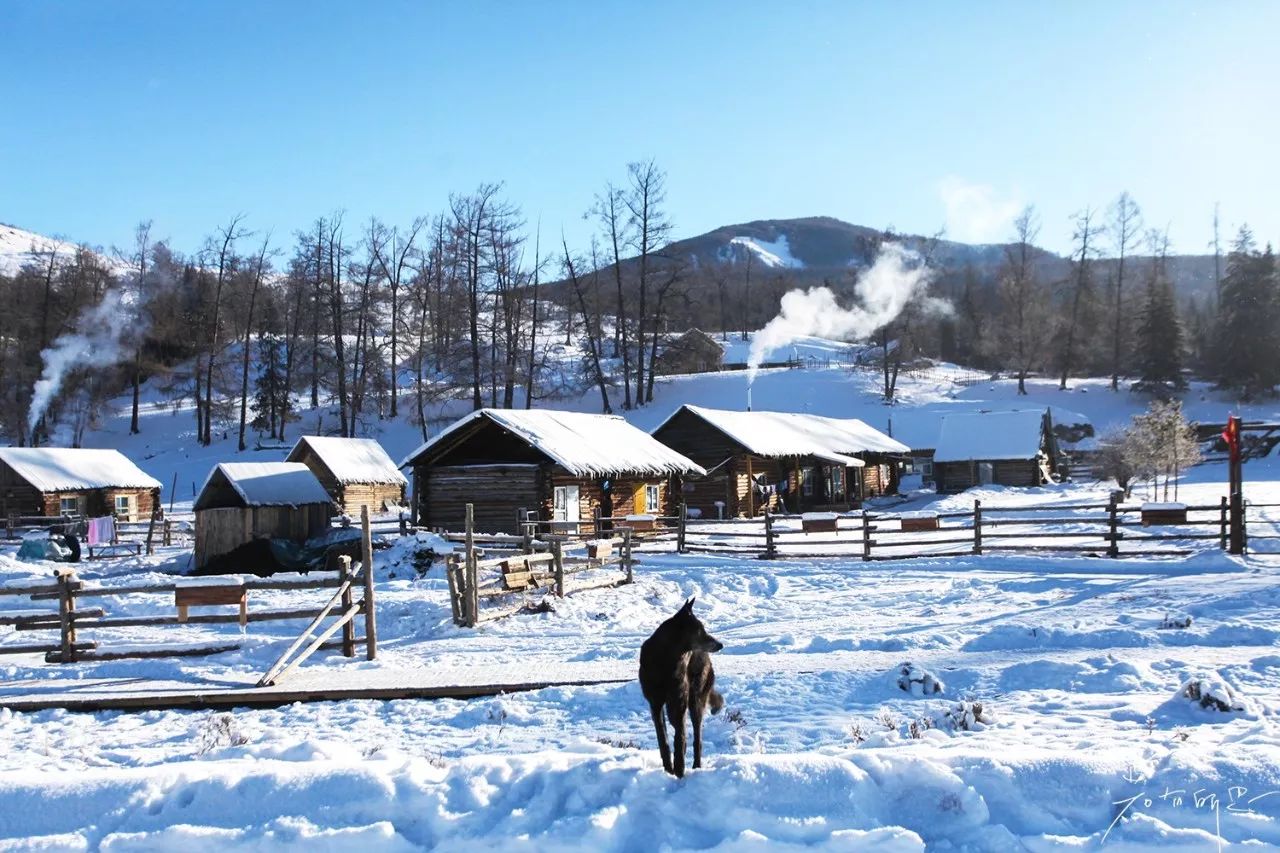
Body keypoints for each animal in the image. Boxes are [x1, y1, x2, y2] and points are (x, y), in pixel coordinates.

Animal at [637, 594, 721, 773]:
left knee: (697, 738)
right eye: (700, 630)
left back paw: (696, 766)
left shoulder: (678, 700)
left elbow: (679, 737)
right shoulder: (655, 704)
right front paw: (669, 769)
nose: (720, 644)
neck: (666, 658)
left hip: (695, 700)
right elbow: (663, 740)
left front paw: (679, 769)